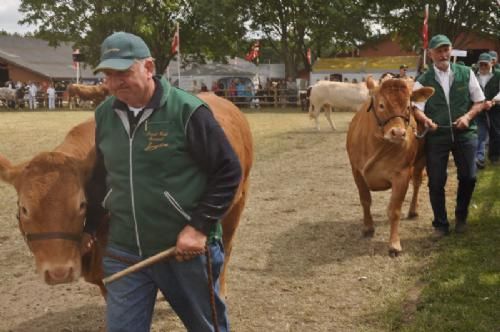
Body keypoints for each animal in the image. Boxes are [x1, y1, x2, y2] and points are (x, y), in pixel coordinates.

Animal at [348, 76, 434, 255]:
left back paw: (413, 210)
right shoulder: (356, 171)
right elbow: (365, 200)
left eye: (408, 107)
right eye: (381, 105)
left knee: (417, 183)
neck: (377, 142)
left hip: (421, 160)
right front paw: (368, 227)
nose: (399, 133)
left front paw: (394, 243)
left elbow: (394, 210)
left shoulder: (401, 174)